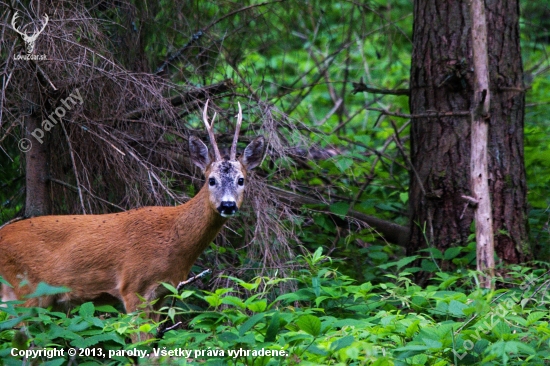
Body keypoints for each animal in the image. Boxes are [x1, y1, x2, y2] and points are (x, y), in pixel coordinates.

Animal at [0, 101, 268, 320]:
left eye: (241, 180)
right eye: (211, 180)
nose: (227, 205)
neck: (174, 242)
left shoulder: (163, 293)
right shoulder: (133, 288)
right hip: (24, 291)